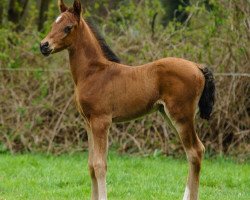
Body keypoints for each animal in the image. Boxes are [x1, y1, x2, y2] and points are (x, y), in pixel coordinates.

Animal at [40, 0, 215, 199]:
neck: (93, 73)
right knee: (194, 151)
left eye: (68, 27)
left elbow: (100, 165)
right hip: (169, 115)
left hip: (182, 116)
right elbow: (91, 165)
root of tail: (197, 66)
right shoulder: (88, 122)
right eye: (54, 24)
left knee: (195, 152)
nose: (43, 46)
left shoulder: (101, 122)